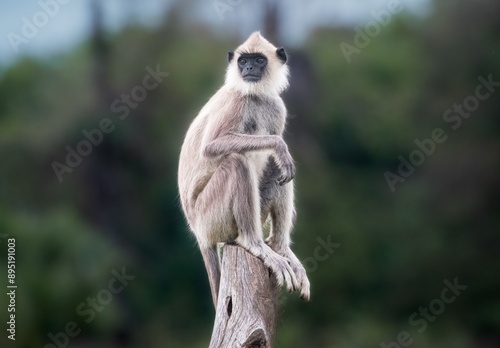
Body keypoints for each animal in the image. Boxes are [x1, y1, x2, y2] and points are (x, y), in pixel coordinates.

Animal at [176, 32, 308, 304]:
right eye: (243, 61)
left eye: (258, 60)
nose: (248, 69)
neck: (254, 96)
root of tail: (199, 234)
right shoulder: (236, 102)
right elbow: (211, 146)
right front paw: (280, 145)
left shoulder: (277, 107)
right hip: (210, 217)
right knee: (237, 162)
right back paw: (254, 244)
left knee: (276, 169)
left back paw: (280, 248)